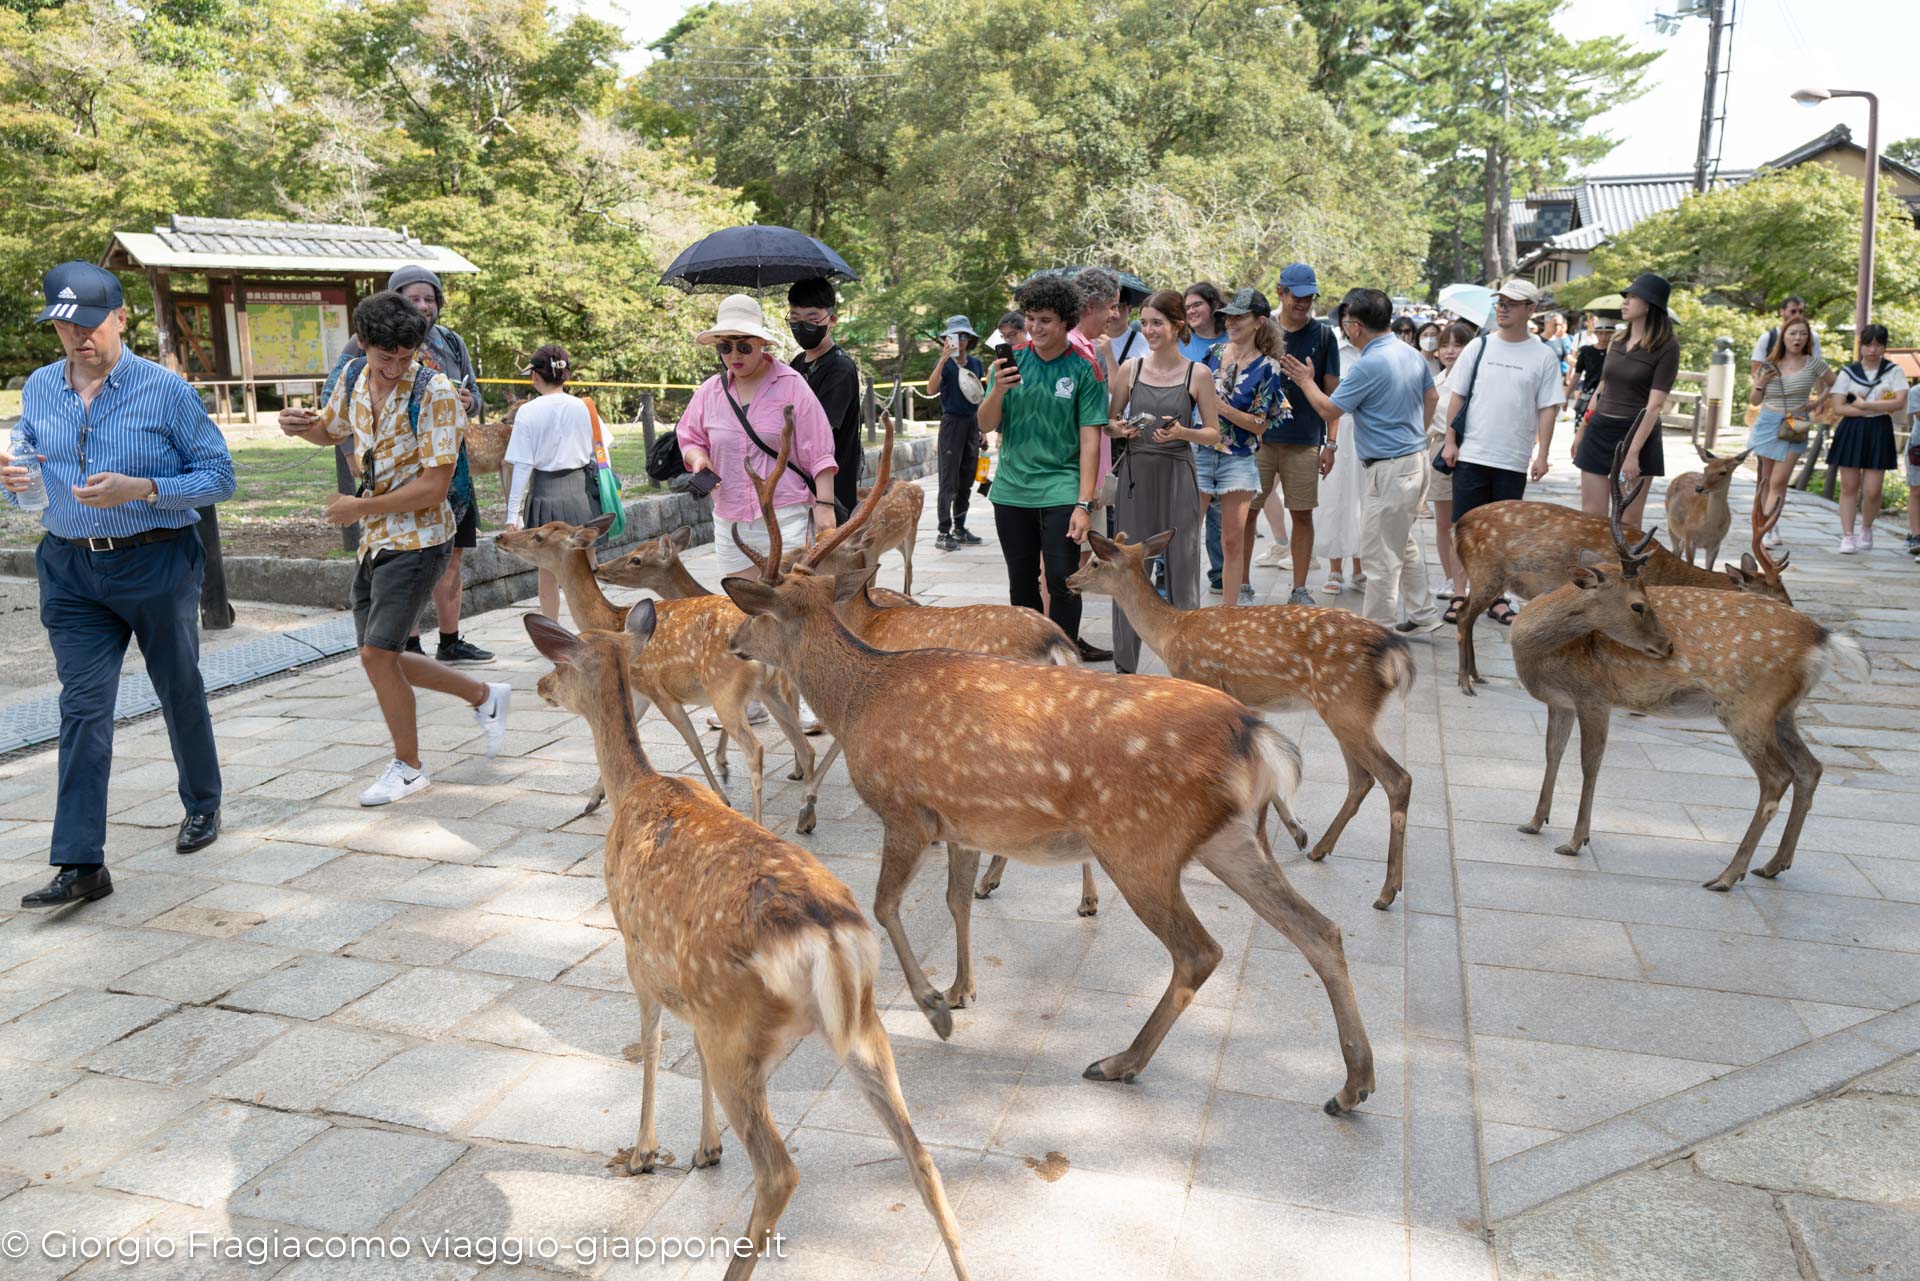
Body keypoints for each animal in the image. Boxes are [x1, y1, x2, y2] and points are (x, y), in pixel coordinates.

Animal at [491, 514, 814, 821]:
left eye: (538, 535)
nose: (500, 537)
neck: (613, 621)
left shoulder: (656, 688)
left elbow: (693, 743)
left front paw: (722, 797)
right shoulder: (638, 691)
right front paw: (592, 800)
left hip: (725, 690)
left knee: (756, 749)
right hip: (768, 688)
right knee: (804, 744)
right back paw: (805, 811)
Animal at [522, 610, 967, 1281]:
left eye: (560, 661)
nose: (541, 687)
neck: (635, 790)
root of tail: (827, 937)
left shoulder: (636, 951)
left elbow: (652, 1041)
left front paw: (644, 1152)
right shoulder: (692, 994)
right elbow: (686, 1052)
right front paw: (705, 1149)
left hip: (739, 1029)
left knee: (780, 1172)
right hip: (860, 1025)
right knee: (922, 1156)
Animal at [721, 418, 1382, 1113]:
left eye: (756, 610)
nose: (732, 641)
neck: (858, 699)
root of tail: (1256, 738)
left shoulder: (906, 810)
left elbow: (882, 907)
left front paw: (934, 1007)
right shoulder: (963, 820)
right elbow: (955, 898)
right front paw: (960, 989)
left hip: (1140, 844)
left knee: (1200, 952)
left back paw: (1120, 1061)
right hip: (1230, 839)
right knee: (1320, 931)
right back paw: (1353, 1083)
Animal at [1059, 530, 1420, 910]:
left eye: (1094, 561)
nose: (1069, 579)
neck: (1169, 633)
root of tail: (1395, 652)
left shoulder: (1202, 679)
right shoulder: (1251, 703)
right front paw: (1298, 832)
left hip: (1344, 703)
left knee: (1397, 778)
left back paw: (1386, 891)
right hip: (1346, 710)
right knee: (1362, 779)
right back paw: (1320, 849)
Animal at [1505, 445, 1866, 898]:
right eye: (1638, 605)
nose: (1668, 647)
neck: (1539, 650)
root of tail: (1822, 640)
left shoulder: (1595, 695)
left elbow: (1590, 762)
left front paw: (1575, 841)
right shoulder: (1561, 701)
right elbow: (1552, 753)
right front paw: (1534, 822)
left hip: (1746, 705)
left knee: (1776, 777)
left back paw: (1728, 875)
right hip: (1783, 711)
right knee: (1810, 768)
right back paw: (1772, 865)